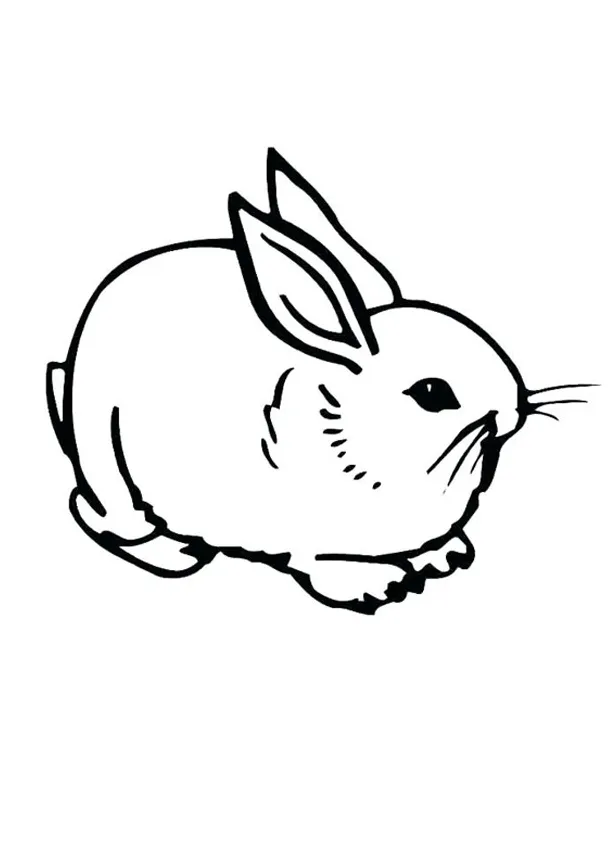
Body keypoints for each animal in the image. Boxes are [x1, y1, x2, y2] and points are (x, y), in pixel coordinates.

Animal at [46, 149, 593, 614]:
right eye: (432, 393)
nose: (512, 411)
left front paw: (443, 555)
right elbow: (317, 560)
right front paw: (377, 584)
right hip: (102, 449)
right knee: (103, 515)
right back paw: (171, 551)